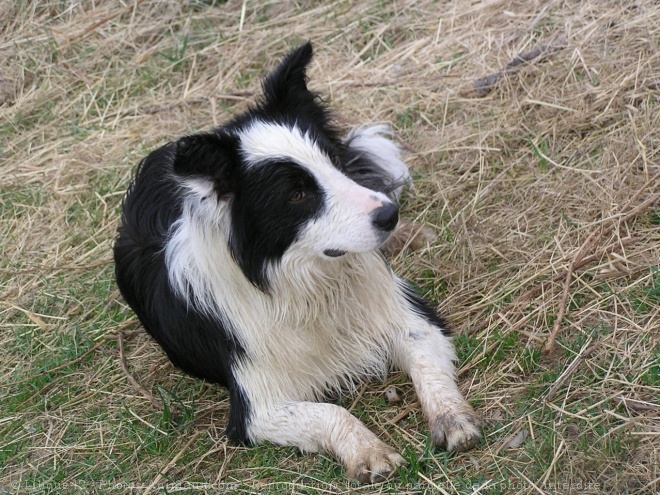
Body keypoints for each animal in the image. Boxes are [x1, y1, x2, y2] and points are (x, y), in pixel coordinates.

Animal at [114, 42, 480, 484]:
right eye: (296, 195)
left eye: (334, 161)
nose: (389, 216)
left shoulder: (412, 318)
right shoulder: (256, 408)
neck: (308, 283)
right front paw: (368, 451)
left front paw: (452, 419)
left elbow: (428, 369)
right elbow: (330, 412)